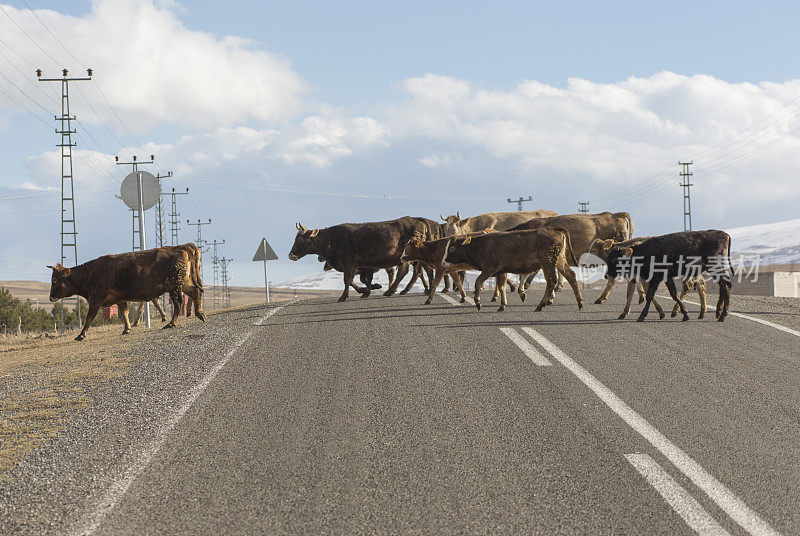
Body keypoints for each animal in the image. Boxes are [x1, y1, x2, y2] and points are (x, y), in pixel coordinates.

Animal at [49, 243, 206, 340]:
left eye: (55, 279)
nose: (51, 297)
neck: (90, 273)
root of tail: (179, 247)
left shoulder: (95, 300)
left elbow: (89, 318)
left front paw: (81, 335)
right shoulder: (120, 299)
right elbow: (124, 313)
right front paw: (127, 329)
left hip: (174, 286)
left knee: (179, 302)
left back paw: (171, 323)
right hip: (183, 283)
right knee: (195, 292)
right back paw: (200, 313)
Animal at [440, 228, 584, 312]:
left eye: (452, 248)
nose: (444, 261)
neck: (481, 245)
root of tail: (557, 231)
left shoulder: (490, 269)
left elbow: (478, 282)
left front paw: (478, 302)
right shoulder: (501, 271)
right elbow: (502, 286)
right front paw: (502, 305)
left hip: (548, 262)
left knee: (552, 281)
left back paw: (540, 305)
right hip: (559, 260)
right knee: (571, 275)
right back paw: (580, 302)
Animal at [600, 230, 732, 322]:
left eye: (614, 260)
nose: (607, 275)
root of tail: (724, 234)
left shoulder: (656, 278)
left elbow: (650, 295)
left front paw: (641, 316)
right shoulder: (667, 278)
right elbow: (674, 294)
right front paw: (685, 314)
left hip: (715, 268)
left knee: (725, 286)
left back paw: (722, 315)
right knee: (724, 286)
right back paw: (718, 313)